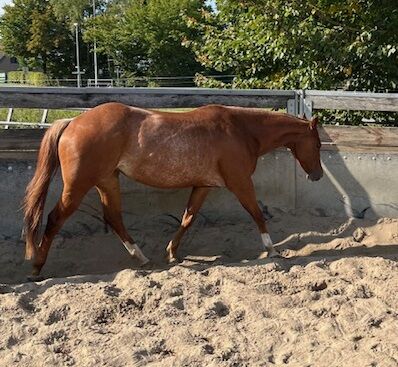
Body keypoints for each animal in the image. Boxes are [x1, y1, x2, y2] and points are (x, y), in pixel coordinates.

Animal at [22, 102, 324, 278]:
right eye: (318, 144)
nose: (318, 175)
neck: (241, 130)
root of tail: (71, 122)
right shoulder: (239, 182)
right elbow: (257, 213)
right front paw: (272, 250)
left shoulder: (203, 185)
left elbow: (187, 219)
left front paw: (171, 253)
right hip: (79, 185)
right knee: (55, 218)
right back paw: (36, 266)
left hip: (107, 180)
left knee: (114, 217)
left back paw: (142, 258)